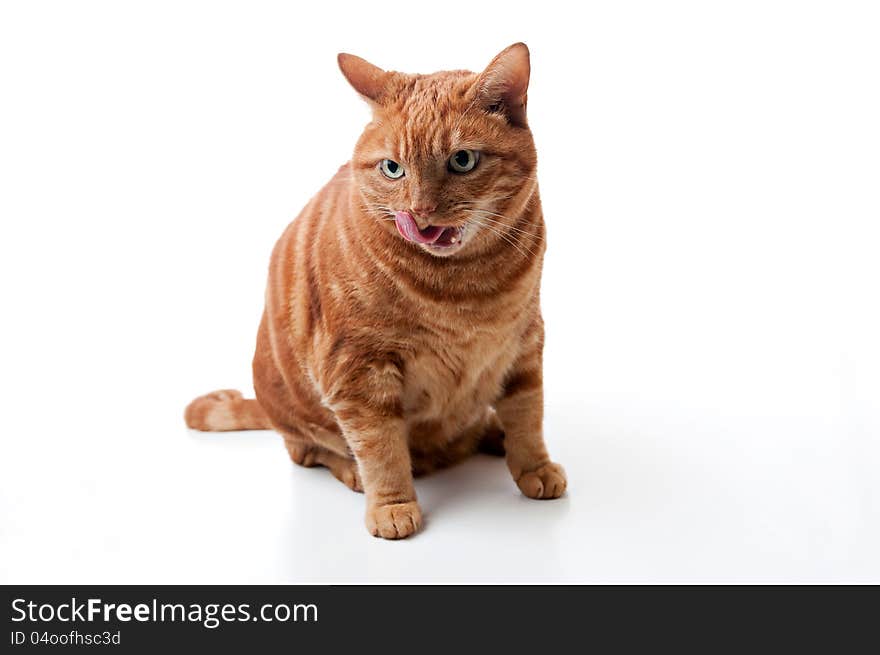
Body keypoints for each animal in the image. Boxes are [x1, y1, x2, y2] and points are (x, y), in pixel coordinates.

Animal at [188, 44, 568, 540]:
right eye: (393, 169)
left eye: (462, 161)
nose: (420, 212)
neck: (466, 288)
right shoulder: (357, 368)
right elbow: (380, 446)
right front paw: (391, 504)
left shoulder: (524, 343)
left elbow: (527, 414)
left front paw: (533, 467)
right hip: (294, 408)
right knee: (307, 449)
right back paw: (353, 470)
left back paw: (489, 432)